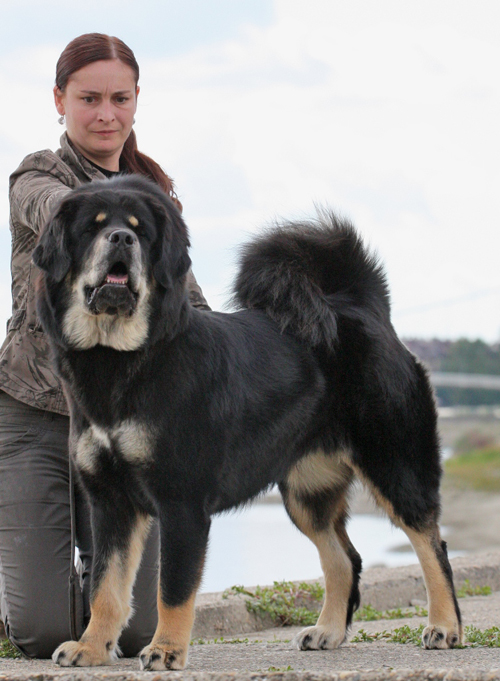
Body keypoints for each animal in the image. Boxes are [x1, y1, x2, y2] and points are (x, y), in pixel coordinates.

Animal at [33, 175, 462, 668]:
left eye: (141, 232)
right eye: (93, 227)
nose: (121, 239)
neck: (119, 360)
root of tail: (364, 307)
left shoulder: (181, 503)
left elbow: (172, 589)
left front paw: (166, 650)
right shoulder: (111, 503)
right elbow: (106, 585)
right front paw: (91, 647)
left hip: (395, 466)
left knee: (432, 544)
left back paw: (445, 627)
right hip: (307, 494)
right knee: (345, 558)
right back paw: (328, 632)